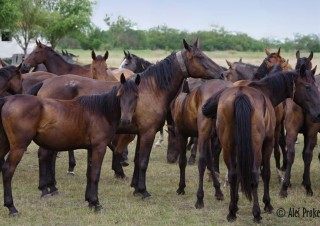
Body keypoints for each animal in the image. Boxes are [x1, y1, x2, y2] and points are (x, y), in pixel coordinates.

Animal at [0, 73, 140, 215]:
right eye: (120, 95)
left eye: (136, 96)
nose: (125, 120)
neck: (101, 111)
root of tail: (7, 100)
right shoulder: (99, 147)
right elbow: (95, 174)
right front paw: (96, 204)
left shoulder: (91, 148)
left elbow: (89, 174)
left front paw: (90, 201)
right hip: (19, 147)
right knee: (8, 170)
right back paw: (12, 208)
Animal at [201, 64, 320, 222]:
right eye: (308, 86)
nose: (318, 113)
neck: (265, 92)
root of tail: (241, 95)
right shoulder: (268, 143)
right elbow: (266, 173)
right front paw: (267, 204)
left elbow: (238, 174)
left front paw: (236, 204)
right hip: (256, 147)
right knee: (254, 173)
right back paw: (256, 213)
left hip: (228, 146)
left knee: (233, 174)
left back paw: (231, 212)